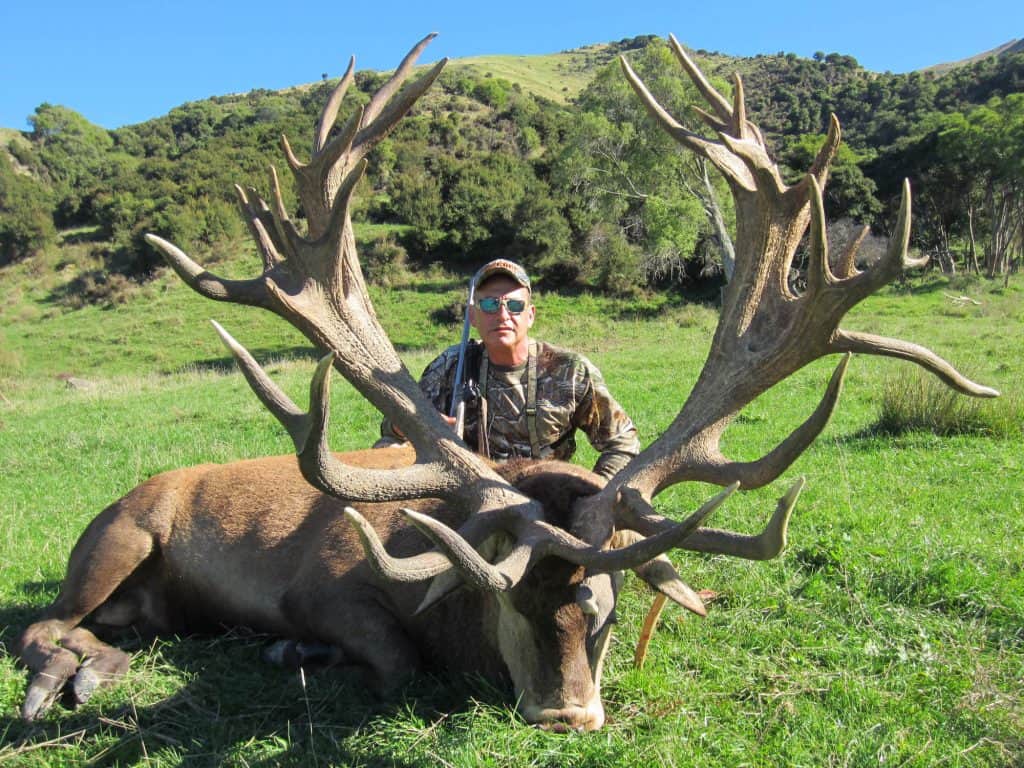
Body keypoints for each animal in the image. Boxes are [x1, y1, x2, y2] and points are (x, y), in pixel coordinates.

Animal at [16, 33, 997, 731]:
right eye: (503, 598)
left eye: (603, 610)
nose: (566, 716)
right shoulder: (326, 586)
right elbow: (393, 660)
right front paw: (298, 654)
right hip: (116, 537)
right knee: (42, 623)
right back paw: (66, 678)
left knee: (106, 625)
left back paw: (100, 666)